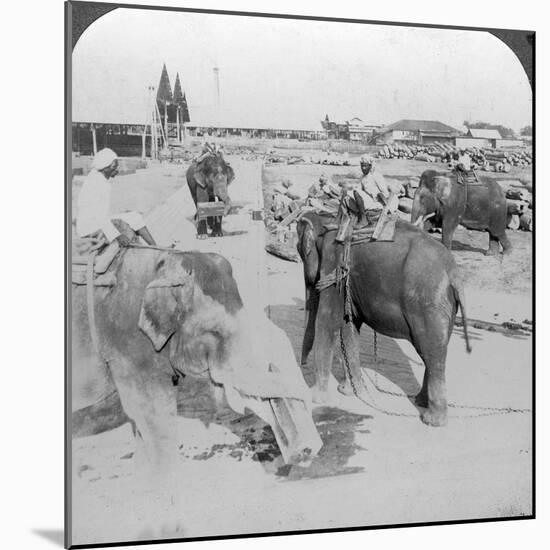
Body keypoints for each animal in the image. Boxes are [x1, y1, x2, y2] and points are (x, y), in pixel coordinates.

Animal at [300, 211, 472, 426]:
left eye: (301, 253)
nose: (302, 364)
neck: (331, 221)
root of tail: (454, 273)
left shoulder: (334, 268)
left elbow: (327, 321)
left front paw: (316, 398)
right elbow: (348, 326)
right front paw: (350, 392)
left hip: (428, 305)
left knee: (432, 353)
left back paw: (432, 420)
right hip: (445, 308)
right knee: (433, 351)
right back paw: (420, 402)